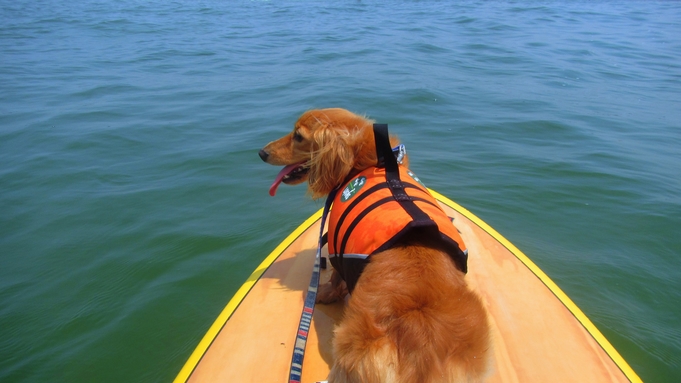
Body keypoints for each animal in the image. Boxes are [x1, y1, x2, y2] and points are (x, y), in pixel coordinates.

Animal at [258, 109, 488, 383]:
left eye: (298, 136)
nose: (261, 152)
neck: (368, 163)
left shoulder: (338, 248)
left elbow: (336, 277)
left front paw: (325, 293)